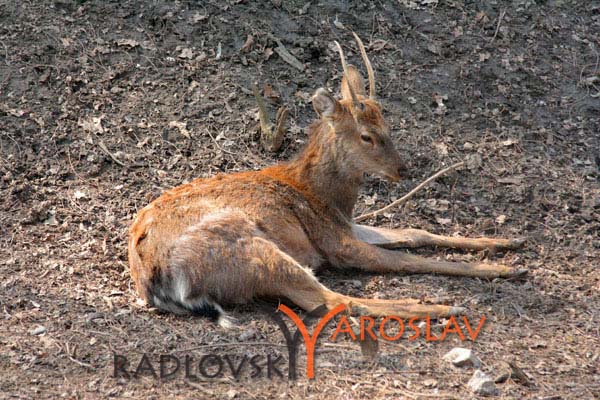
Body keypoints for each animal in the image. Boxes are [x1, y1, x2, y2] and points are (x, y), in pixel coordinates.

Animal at [128, 33, 526, 327]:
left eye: (388, 125)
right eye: (367, 135)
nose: (403, 170)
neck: (322, 195)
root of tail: (159, 283)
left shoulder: (344, 225)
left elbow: (416, 233)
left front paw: (509, 241)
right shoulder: (336, 242)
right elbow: (404, 259)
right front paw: (504, 268)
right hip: (251, 248)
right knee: (330, 300)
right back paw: (442, 308)